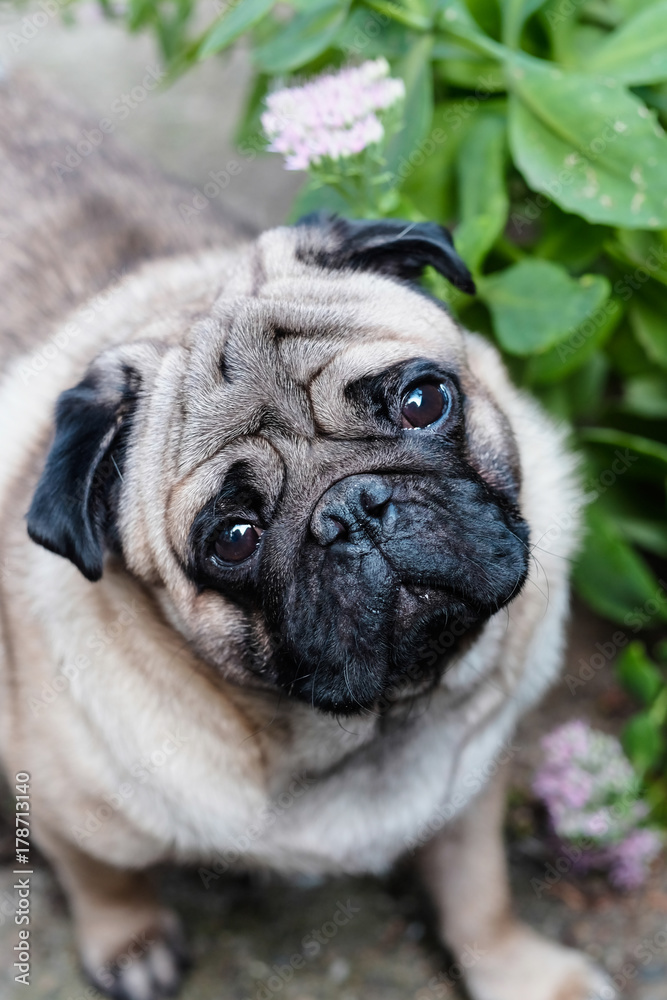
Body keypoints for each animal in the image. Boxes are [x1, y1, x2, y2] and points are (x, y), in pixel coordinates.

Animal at [0, 72, 612, 1000]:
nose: (352, 508)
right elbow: (98, 869)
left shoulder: (469, 781)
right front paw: (128, 938)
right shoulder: (67, 797)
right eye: (234, 537)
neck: (370, 726)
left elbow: (478, 889)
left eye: (423, 400)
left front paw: (521, 972)